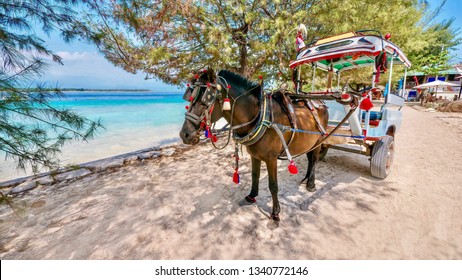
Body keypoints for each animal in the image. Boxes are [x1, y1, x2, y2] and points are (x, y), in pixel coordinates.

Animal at [179, 68, 326, 221]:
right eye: (189, 98)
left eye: (205, 100)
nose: (184, 134)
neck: (260, 116)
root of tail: (319, 101)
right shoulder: (254, 155)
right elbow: (254, 175)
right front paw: (251, 196)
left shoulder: (271, 159)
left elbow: (273, 185)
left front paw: (275, 212)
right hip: (309, 143)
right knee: (309, 158)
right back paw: (306, 179)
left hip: (319, 140)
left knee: (314, 159)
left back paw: (311, 183)